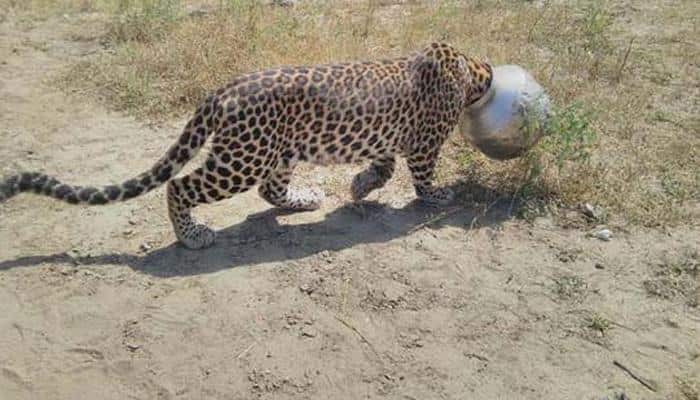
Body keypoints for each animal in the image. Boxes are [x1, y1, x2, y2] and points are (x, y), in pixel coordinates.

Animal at [0, 42, 493, 250]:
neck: (468, 66)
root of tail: (221, 91)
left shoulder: (389, 136)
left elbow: (384, 165)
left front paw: (358, 185)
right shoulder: (425, 143)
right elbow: (422, 175)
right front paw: (438, 194)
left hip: (277, 151)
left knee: (270, 190)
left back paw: (305, 199)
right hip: (242, 158)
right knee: (179, 185)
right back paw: (192, 236)